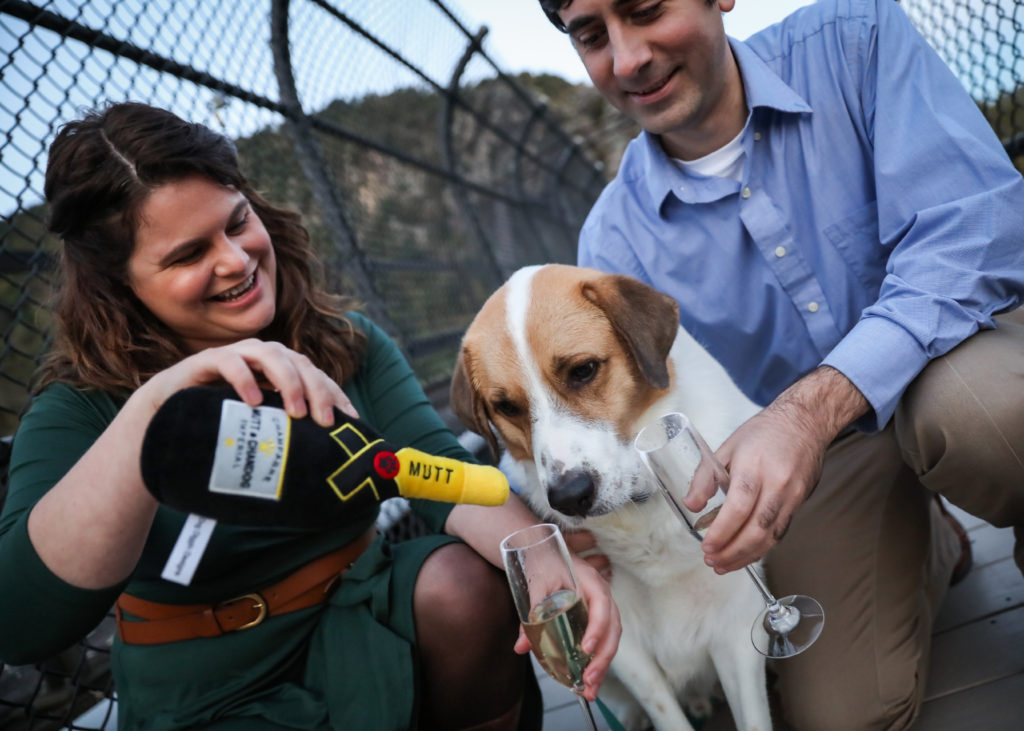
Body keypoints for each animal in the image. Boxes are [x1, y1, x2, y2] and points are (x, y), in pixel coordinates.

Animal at [451, 264, 772, 731]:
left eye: (583, 370)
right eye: (506, 406)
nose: (569, 497)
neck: (641, 506)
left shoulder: (737, 628)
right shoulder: (624, 649)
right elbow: (666, 715)